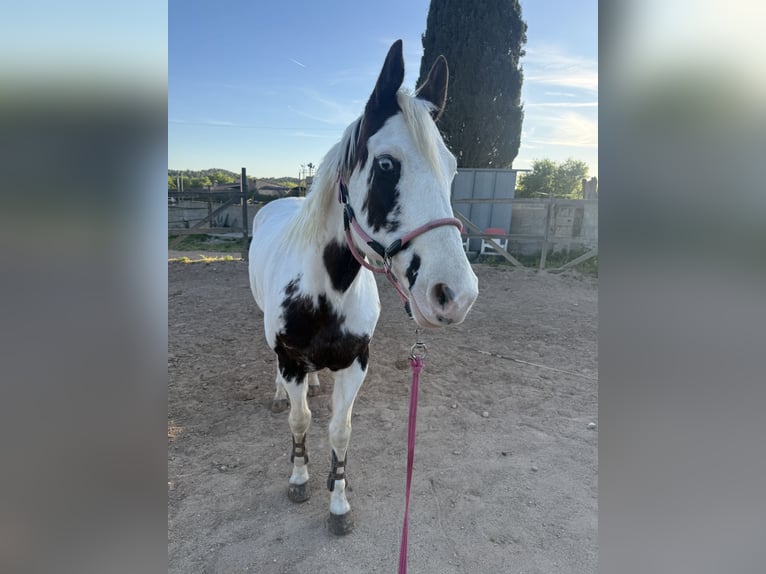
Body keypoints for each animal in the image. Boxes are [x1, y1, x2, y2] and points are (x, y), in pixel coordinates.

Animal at [248, 39, 479, 535]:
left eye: (452, 168)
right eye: (387, 164)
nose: (456, 294)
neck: (326, 291)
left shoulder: (357, 362)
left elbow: (340, 429)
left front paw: (338, 501)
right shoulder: (290, 358)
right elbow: (300, 419)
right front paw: (299, 479)